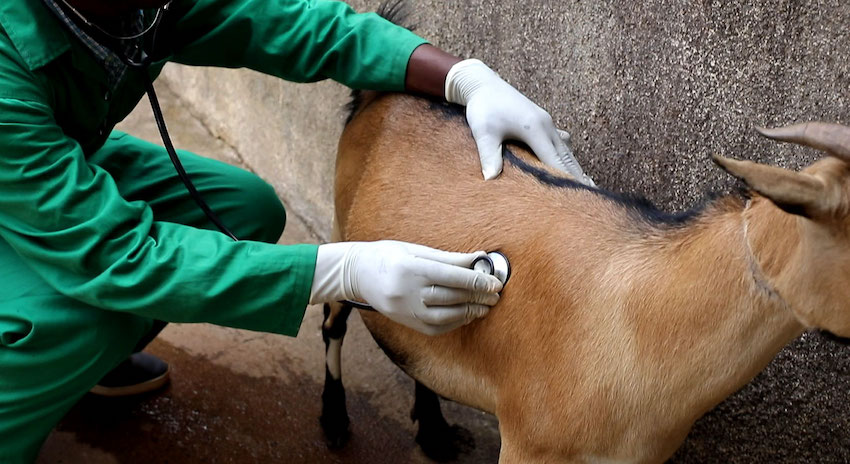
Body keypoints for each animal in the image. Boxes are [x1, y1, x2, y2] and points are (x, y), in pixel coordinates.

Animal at [318, 91, 848, 464]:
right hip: (345, 233)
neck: (641, 318)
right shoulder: (528, 445)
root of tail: (378, 97)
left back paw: (435, 434)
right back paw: (334, 421)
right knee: (332, 320)